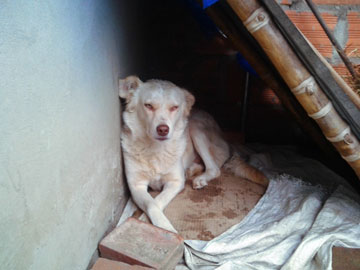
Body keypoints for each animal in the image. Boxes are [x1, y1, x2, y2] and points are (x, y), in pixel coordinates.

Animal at [119, 75, 268, 232]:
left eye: (174, 107)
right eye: (148, 106)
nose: (163, 130)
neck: (155, 149)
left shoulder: (176, 182)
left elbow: (157, 202)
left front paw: (161, 227)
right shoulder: (136, 186)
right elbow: (151, 204)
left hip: (195, 128)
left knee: (214, 168)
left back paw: (200, 178)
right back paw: (192, 170)